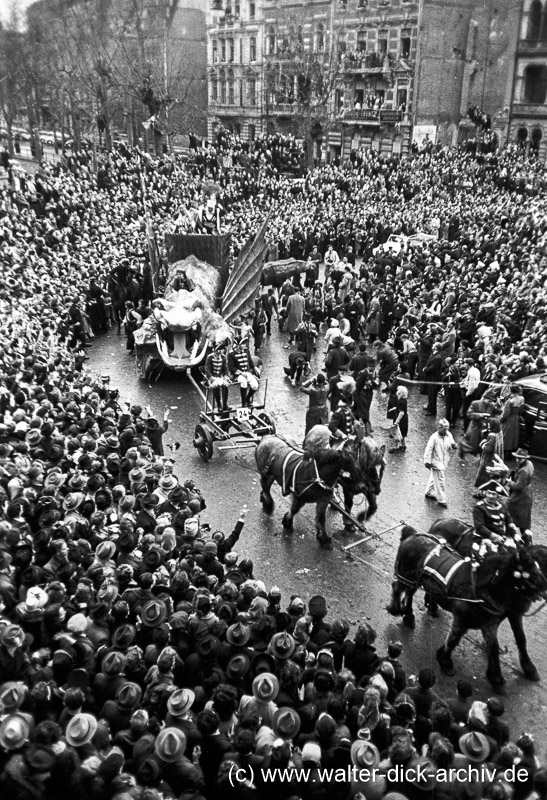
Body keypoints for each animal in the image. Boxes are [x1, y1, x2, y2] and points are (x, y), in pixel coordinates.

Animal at [388, 524, 547, 692]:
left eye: (539, 565)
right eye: (528, 568)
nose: (544, 585)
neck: (481, 588)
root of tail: (412, 534)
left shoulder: (490, 624)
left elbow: (496, 647)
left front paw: (497, 678)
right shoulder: (462, 619)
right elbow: (453, 640)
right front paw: (445, 661)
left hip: (416, 580)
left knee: (409, 593)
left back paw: (410, 615)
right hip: (406, 576)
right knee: (398, 588)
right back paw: (398, 609)